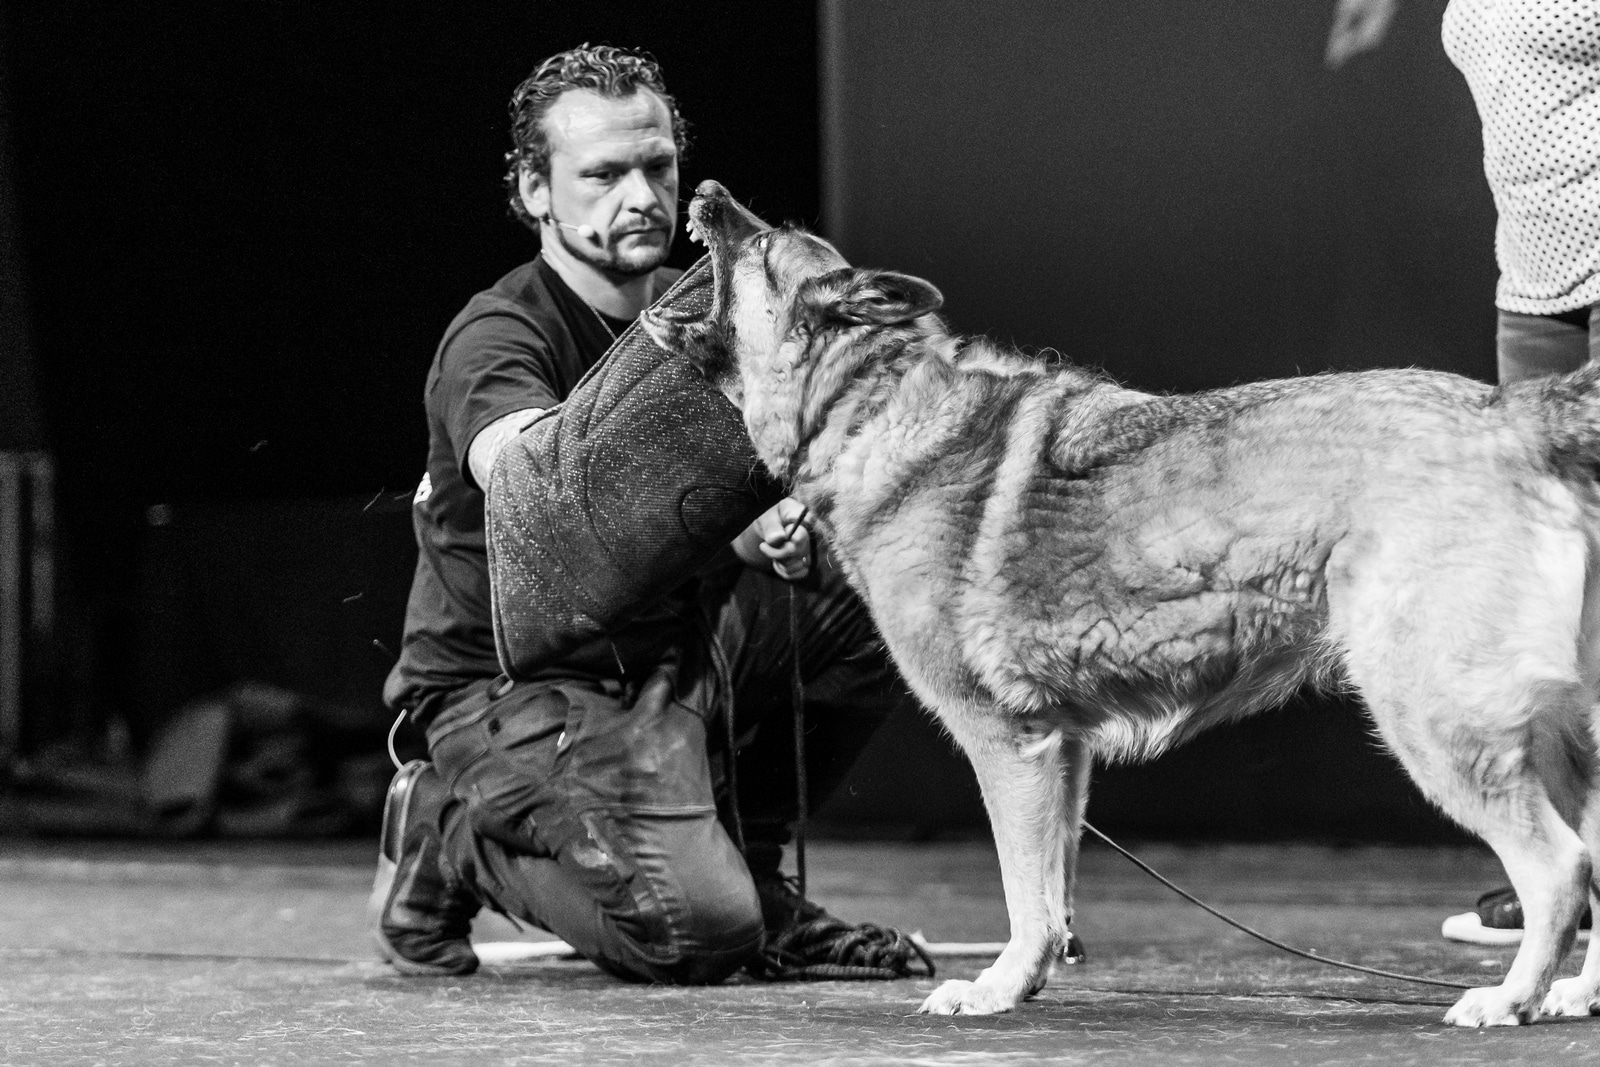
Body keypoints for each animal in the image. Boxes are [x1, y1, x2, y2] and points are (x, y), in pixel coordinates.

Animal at [643, 181, 1600, 1023]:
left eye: (762, 245)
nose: (709, 189)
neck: (870, 404)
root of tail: (1509, 414)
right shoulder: (1062, 753)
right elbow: (1054, 887)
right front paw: (1030, 977)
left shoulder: (1008, 742)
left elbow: (1024, 891)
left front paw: (996, 987)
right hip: (1557, 737)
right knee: (1593, 863)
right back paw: (1573, 995)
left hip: (1437, 719)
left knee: (1560, 870)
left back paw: (1510, 997)